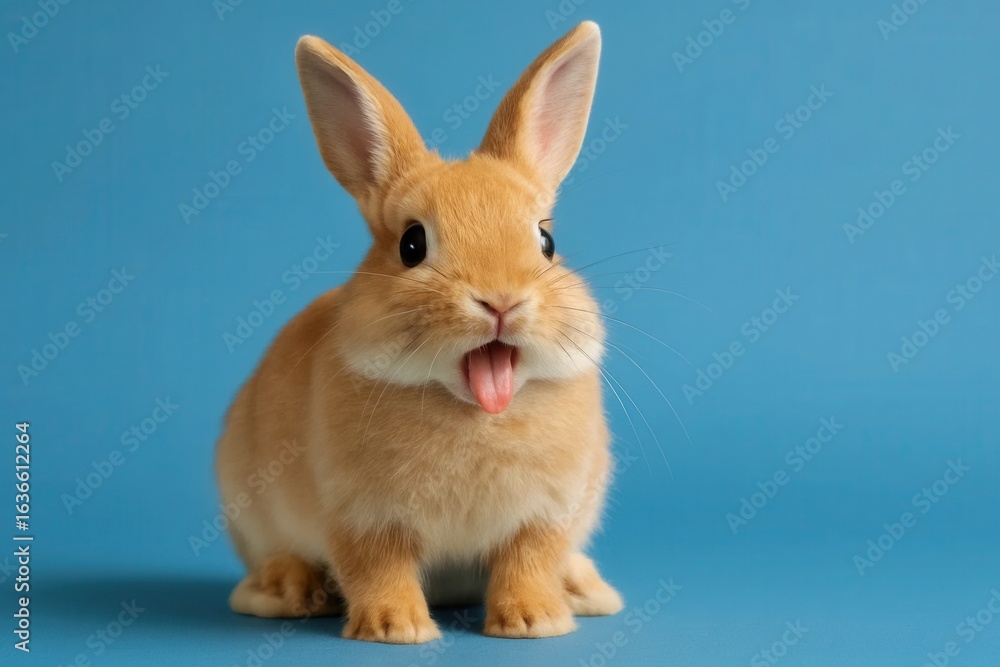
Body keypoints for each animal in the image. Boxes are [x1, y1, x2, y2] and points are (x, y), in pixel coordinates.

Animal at [215, 20, 624, 644]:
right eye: (412, 244)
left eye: (546, 241)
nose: (501, 300)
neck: (476, 413)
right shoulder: (362, 516)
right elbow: (377, 568)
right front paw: (396, 629)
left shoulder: (545, 515)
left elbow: (528, 563)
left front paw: (535, 622)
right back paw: (288, 590)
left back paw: (585, 590)